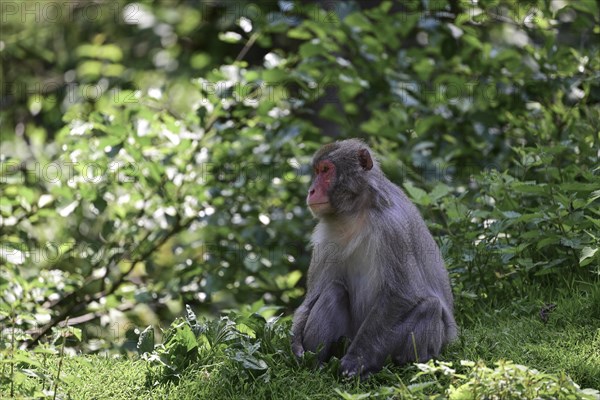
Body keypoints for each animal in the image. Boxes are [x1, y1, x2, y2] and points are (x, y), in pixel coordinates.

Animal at [290, 138, 454, 378]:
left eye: (326, 170)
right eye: (316, 171)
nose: (311, 190)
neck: (355, 211)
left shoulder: (393, 228)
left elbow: (400, 295)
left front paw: (354, 360)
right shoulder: (325, 235)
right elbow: (315, 295)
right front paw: (295, 343)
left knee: (430, 308)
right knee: (333, 291)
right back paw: (316, 364)